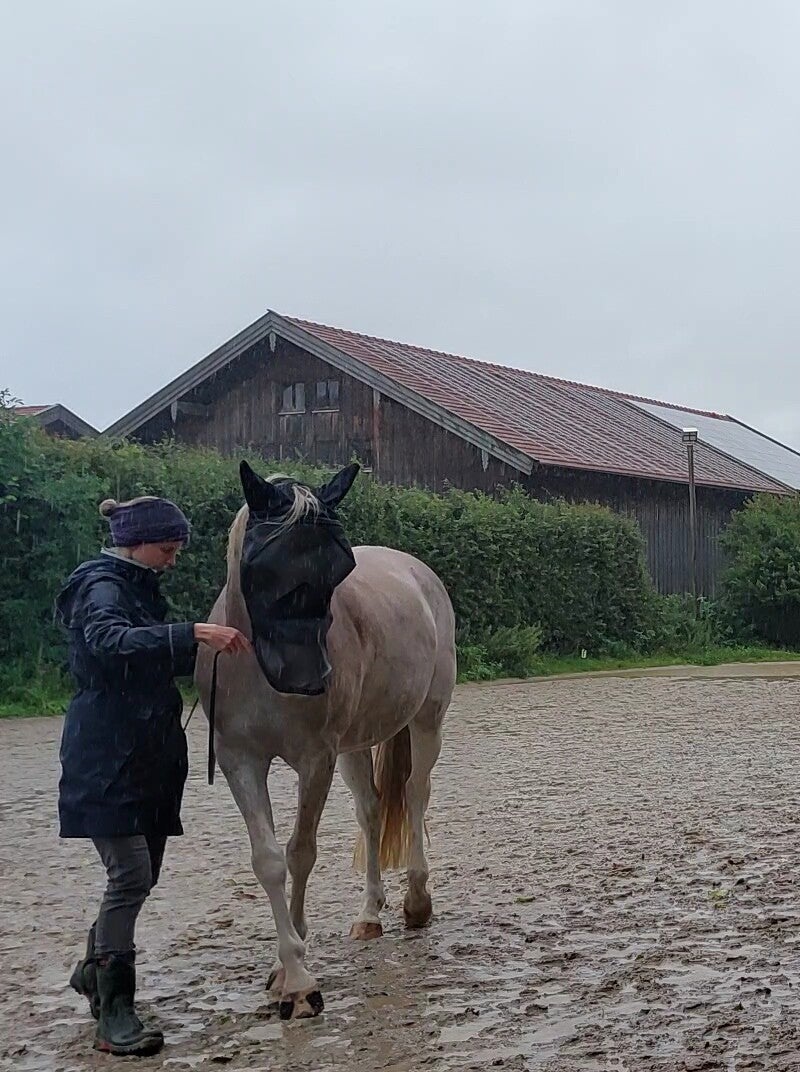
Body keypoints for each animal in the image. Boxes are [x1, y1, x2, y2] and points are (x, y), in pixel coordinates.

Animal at [194, 459, 456, 1019]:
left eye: (341, 568)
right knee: (373, 812)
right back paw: (370, 913)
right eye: (266, 567)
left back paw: (416, 902)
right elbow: (269, 860)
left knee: (416, 795)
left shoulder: (316, 759)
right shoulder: (240, 760)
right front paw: (286, 966)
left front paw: (297, 978)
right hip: (356, 745)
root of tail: (417, 570)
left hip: (426, 721)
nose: (312, 680)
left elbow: (301, 852)